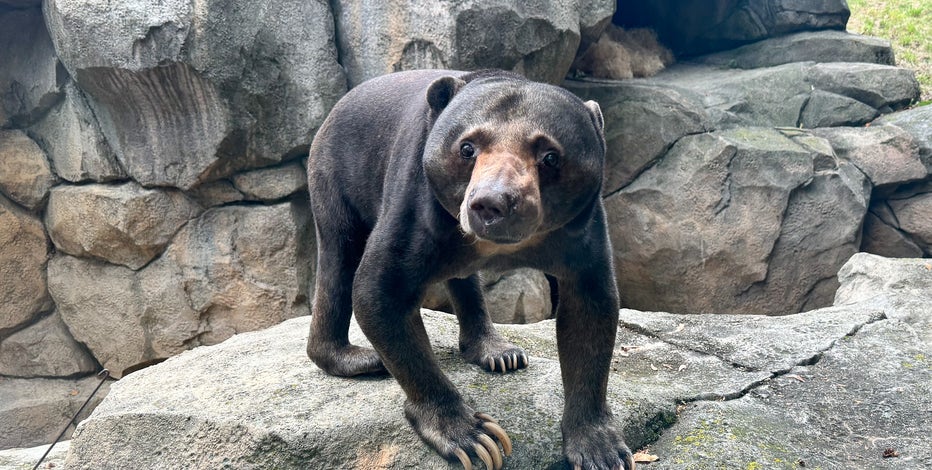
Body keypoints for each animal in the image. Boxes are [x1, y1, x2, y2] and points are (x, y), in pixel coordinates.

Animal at [306, 69, 634, 470]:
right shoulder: (417, 206)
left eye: (549, 156)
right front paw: (474, 437)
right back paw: (360, 358)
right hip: (336, 177)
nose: (492, 204)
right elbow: (380, 291)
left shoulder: (582, 227)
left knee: (464, 280)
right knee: (339, 261)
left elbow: (590, 308)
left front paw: (601, 449)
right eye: (467, 148)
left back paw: (500, 352)